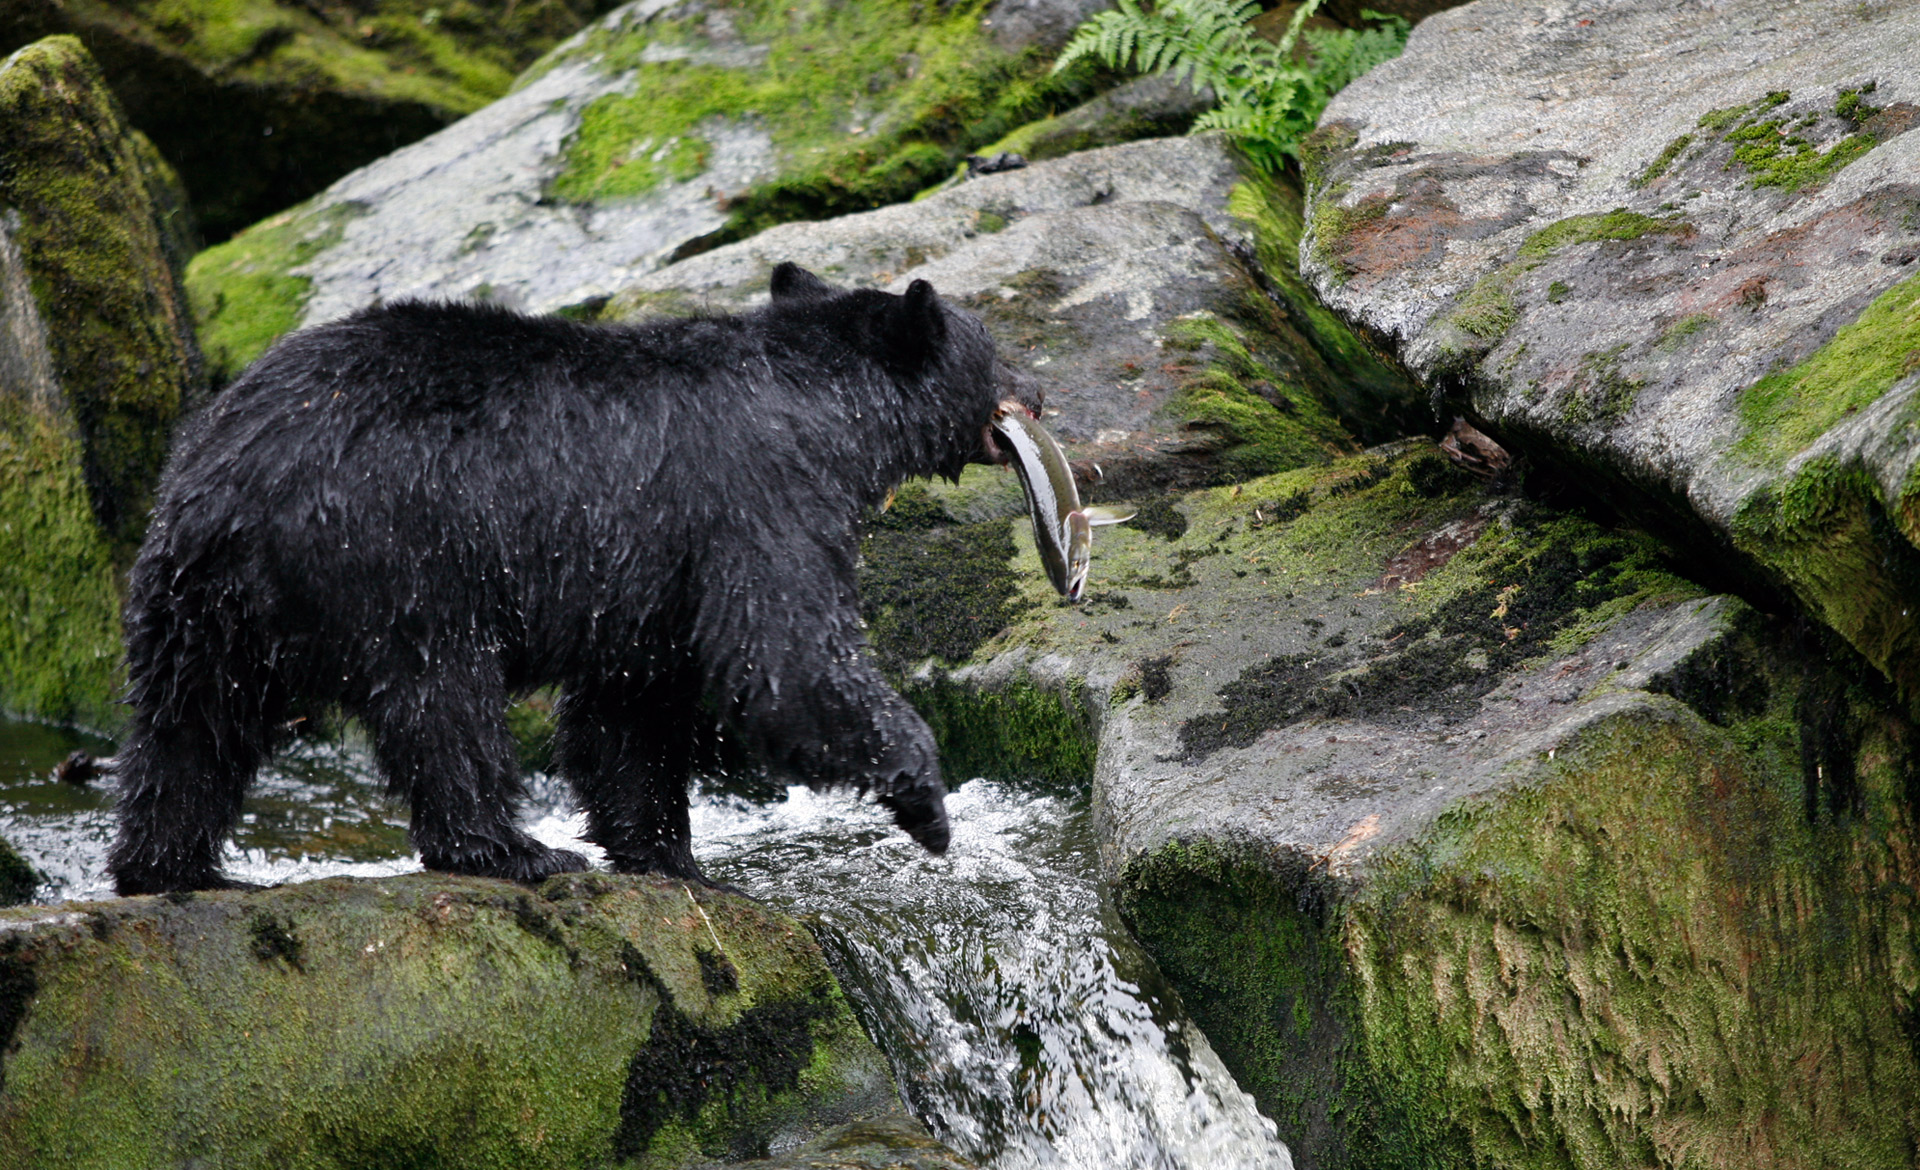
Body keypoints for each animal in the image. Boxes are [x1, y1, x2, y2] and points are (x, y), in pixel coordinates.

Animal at [108, 259, 1021, 891]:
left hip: (194, 602)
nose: (1037, 395)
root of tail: (231, 483)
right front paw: (927, 803)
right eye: (999, 355)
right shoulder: (757, 498)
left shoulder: (645, 576)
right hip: (399, 556)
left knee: (189, 730)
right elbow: (786, 659)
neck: (825, 409)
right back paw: (514, 849)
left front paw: (669, 856)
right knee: (444, 706)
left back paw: (171, 865)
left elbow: (630, 712)